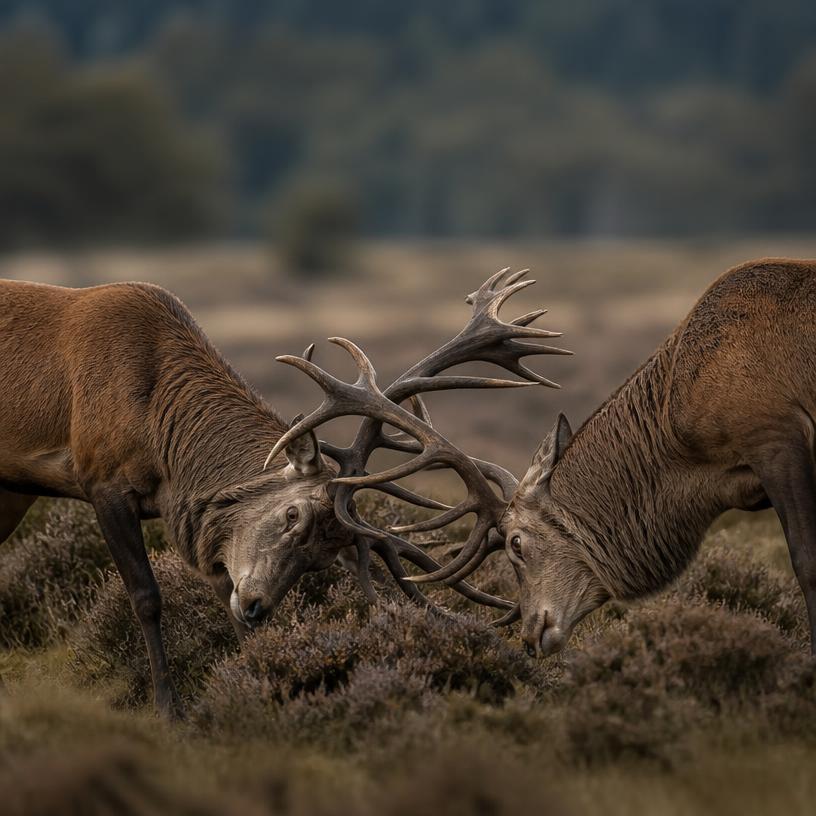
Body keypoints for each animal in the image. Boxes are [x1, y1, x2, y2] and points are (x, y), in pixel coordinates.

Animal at [0, 274, 566, 717]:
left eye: (323, 560)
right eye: (293, 514)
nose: (257, 606)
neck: (161, 433)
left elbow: (221, 602)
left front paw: (255, 686)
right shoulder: (103, 480)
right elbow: (146, 597)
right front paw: (169, 710)